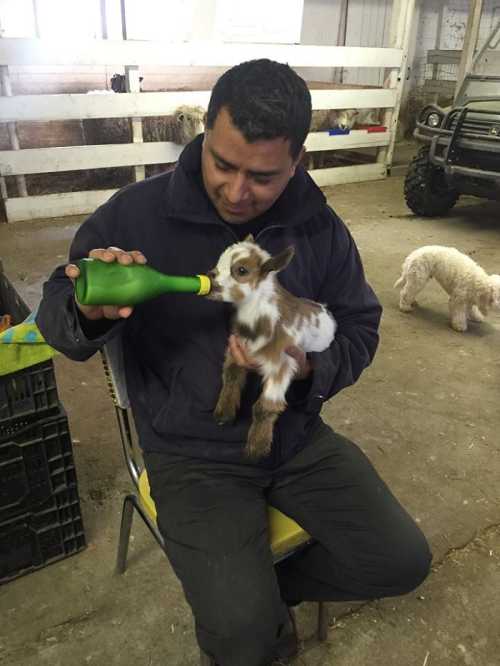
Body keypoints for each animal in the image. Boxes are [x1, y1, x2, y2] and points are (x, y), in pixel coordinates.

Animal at [205, 236, 338, 460]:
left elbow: (264, 407)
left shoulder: (281, 364)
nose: (210, 276)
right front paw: (224, 414)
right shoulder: (237, 350)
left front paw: (257, 448)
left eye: (241, 270)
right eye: (219, 260)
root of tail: (325, 310)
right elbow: (231, 377)